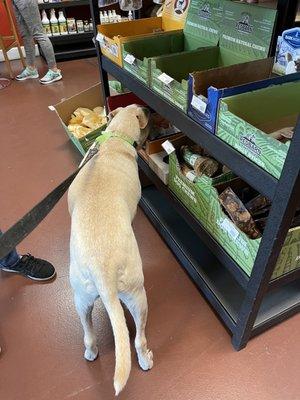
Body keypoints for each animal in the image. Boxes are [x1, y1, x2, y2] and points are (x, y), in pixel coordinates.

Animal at [67, 103, 152, 394]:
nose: (147, 107)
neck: (114, 139)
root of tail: (102, 267)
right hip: (137, 295)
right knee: (138, 339)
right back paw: (145, 359)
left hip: (81, 298)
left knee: (88, 332)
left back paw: (91, 351)